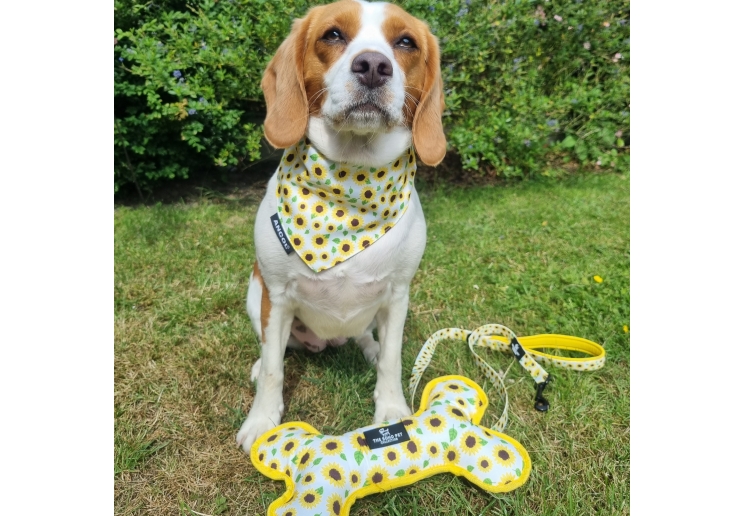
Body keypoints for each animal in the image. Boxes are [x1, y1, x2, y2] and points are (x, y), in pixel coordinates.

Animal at [238, 0, 444, 452]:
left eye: (406, 42)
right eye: (332, 35)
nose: (373, 66)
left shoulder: (398, 295)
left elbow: (392, 360)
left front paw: (392, 408)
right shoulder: (276, 296)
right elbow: (276, 369)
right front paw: (262, 420)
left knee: (368, 339)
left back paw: (368, 346)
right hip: (254, 294)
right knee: (273, 350)